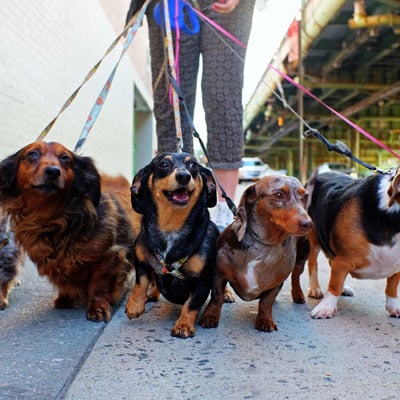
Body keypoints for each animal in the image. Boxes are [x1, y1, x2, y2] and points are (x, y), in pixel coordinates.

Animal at [0, 142, 141, 320]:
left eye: (65, 157)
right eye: (32, 154)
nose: (53, 171)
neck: (53, 221)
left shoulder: (111, 256)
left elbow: (98, 286)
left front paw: (98, 307)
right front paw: (65, 298)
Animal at [125, 152, 219, 338]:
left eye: (193, 166)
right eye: (163, 164)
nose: (183, 176)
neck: (171, 227)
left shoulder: (202, 282)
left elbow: (191, 304)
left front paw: (183, 325)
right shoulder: (141, 262)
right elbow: (140, 283)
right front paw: (134, 305)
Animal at [200, 174, 312, 332]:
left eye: (305, 196)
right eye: (279, 195)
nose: (308, 224)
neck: (263, 245)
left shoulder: (277, 283)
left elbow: (266, 301)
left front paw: (265, 320)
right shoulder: (218, 273)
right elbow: (216, 296)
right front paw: (210, 316)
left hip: (302, 257)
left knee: (295, 276)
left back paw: (298, 294)